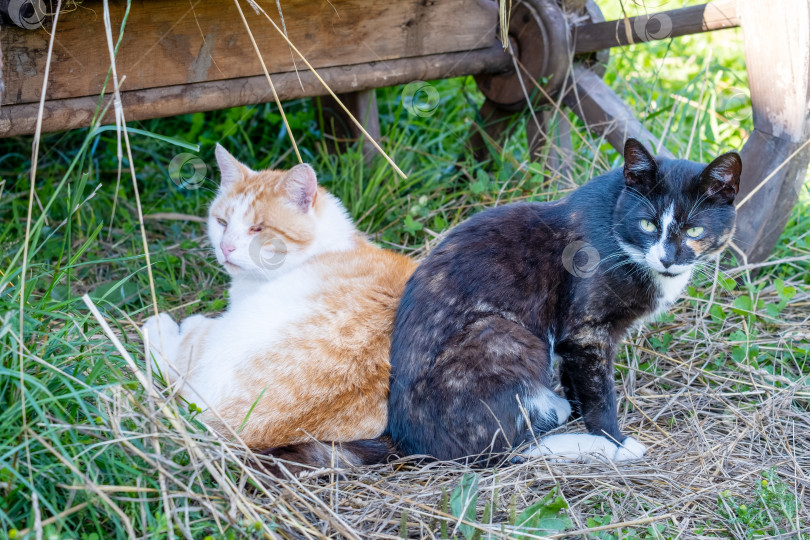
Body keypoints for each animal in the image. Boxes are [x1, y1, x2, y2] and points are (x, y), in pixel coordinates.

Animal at [386, 139, 740, 464]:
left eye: (694, 230)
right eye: (647, 224)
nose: (667, 258)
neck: (615, 225)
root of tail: (408, 441)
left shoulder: (576, 341)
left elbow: (576, 380)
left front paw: (580, 416)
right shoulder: (587, 332)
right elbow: (600, 395)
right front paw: (614, 441)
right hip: (503, 334)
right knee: (509, 448)